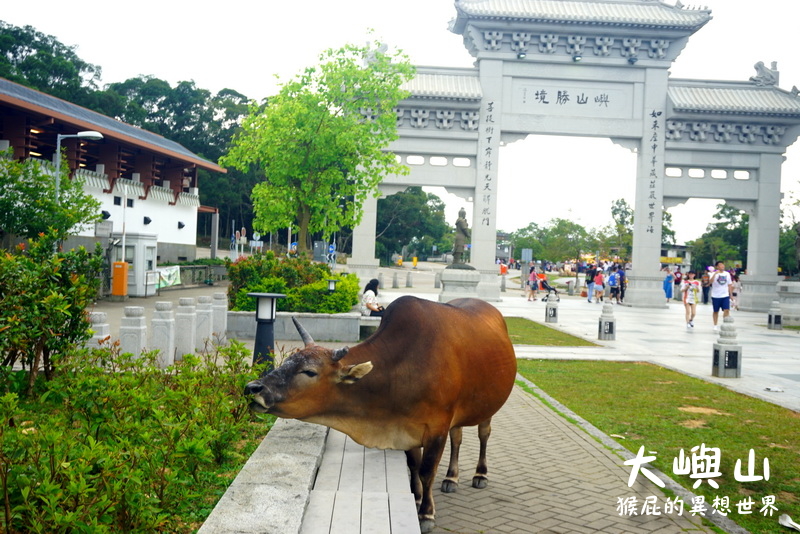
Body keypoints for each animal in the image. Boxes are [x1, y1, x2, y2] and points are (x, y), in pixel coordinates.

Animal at [245, 296, 520, 532]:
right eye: (287, 361)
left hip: (488, 407)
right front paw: (416, 496)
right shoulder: (408, 428)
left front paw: (426, 513)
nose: (253, 388)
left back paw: (480, 473)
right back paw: (452, 478)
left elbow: (427, 470)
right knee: (458, 437)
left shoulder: (437, 428)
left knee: (483, 434)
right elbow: (414, 464)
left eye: (309, 372)